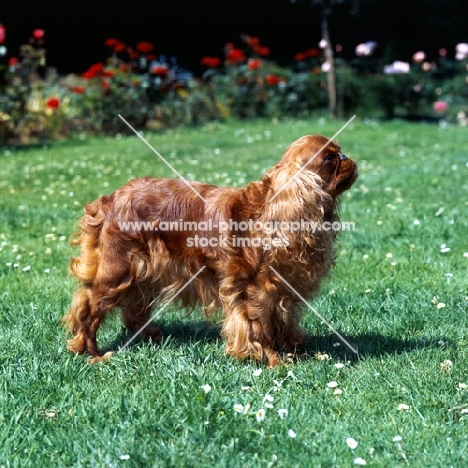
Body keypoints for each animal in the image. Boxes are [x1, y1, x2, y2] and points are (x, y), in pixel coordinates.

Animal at [63, 133, 358, 368]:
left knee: (133, 308)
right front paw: (274, 362)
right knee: (87, 311)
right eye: (330, 158)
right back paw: (93, 353)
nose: (349, 159)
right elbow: (263, 328)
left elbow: (284, 321)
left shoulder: (284, 287)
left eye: (340, 153)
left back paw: (151, 336)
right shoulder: (257, 290)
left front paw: (292, 352)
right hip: (117, 272)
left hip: (143, 271)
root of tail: (109, 199)